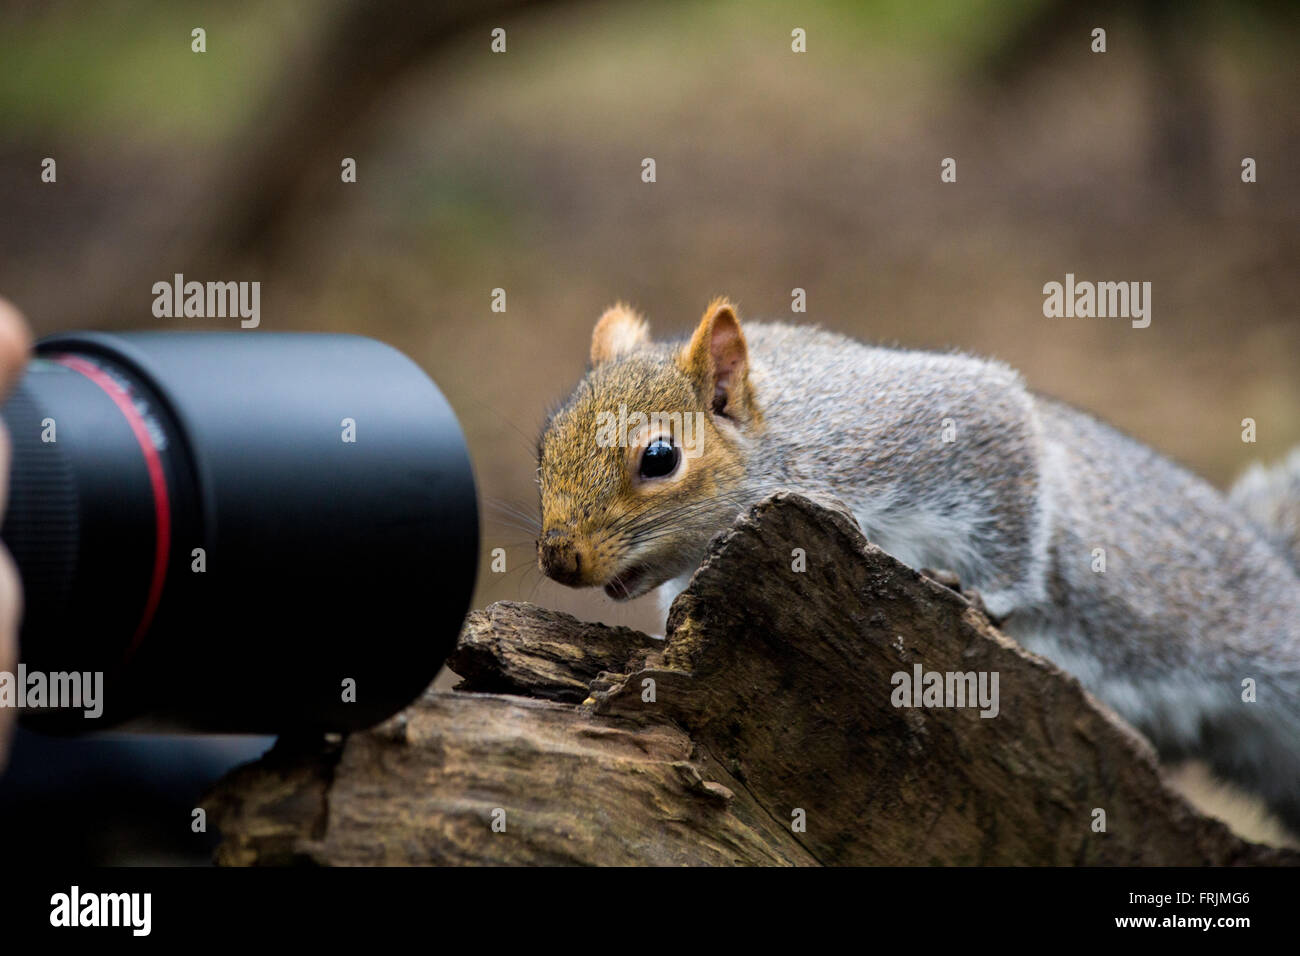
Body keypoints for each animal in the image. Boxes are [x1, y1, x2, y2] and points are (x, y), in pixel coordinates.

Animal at [535, 297, 1300, 836]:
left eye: (660, 458)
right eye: (544, 445)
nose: (558, 556)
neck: (780, 437)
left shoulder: (912, 433)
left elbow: (1011, 489)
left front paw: (989, 599)